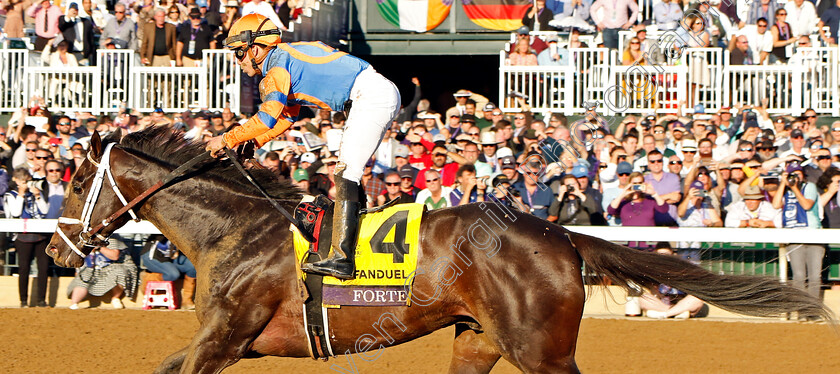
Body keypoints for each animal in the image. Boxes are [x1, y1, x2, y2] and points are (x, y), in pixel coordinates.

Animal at [49, 127, 832, 372]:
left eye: (79, 179)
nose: (56, 252)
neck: (235, 230)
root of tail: (560, 232)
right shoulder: (224, 341)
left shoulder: (226, 337)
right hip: (477, 340)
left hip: (540, 349)